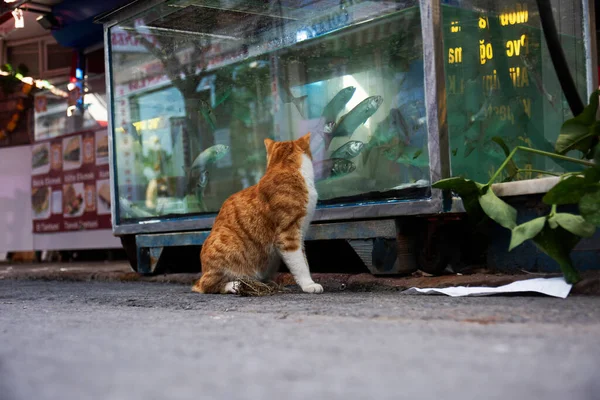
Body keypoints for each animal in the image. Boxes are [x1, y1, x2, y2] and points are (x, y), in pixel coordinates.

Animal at [192, 134, 324, 294]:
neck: (285, 168)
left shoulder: (300, 234)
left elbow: (304, 259)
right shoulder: (288, 235)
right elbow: (300, 264)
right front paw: (309, 284)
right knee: (210, 285)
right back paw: (238, 285)